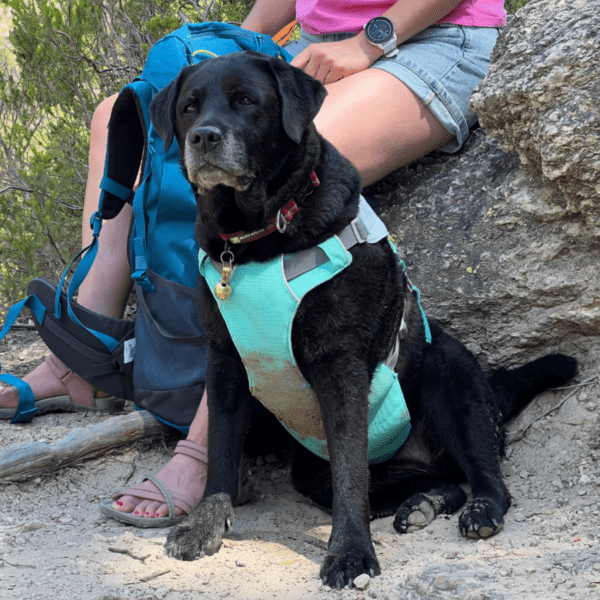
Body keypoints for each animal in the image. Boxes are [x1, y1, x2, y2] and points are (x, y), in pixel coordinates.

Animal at [149, 50, 576, 584]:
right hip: (318, 473)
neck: (257, 241)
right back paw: (423, 504)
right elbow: (221, 452)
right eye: (189, 107)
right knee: (439, 481)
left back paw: (481, 509)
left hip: (449, 377)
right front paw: (204, 523)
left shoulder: (340, 366)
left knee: (484, 478)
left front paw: (350, 553)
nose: (203, 136)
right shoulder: (225, 361)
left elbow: (350, 473)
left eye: (246, 100)